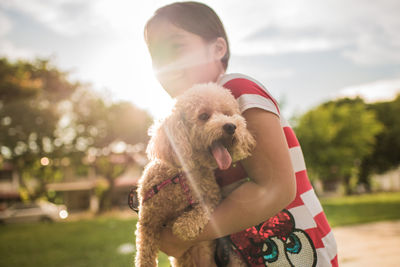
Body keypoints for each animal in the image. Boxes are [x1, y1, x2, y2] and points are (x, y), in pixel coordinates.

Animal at [134, 82, 253, 266]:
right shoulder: (147, 221)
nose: (231, 126)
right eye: (204, 116)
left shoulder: (212, 200)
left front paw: (183, 225)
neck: (181, 176)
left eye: (227, 114)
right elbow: (144, 255)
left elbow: (198, 213)